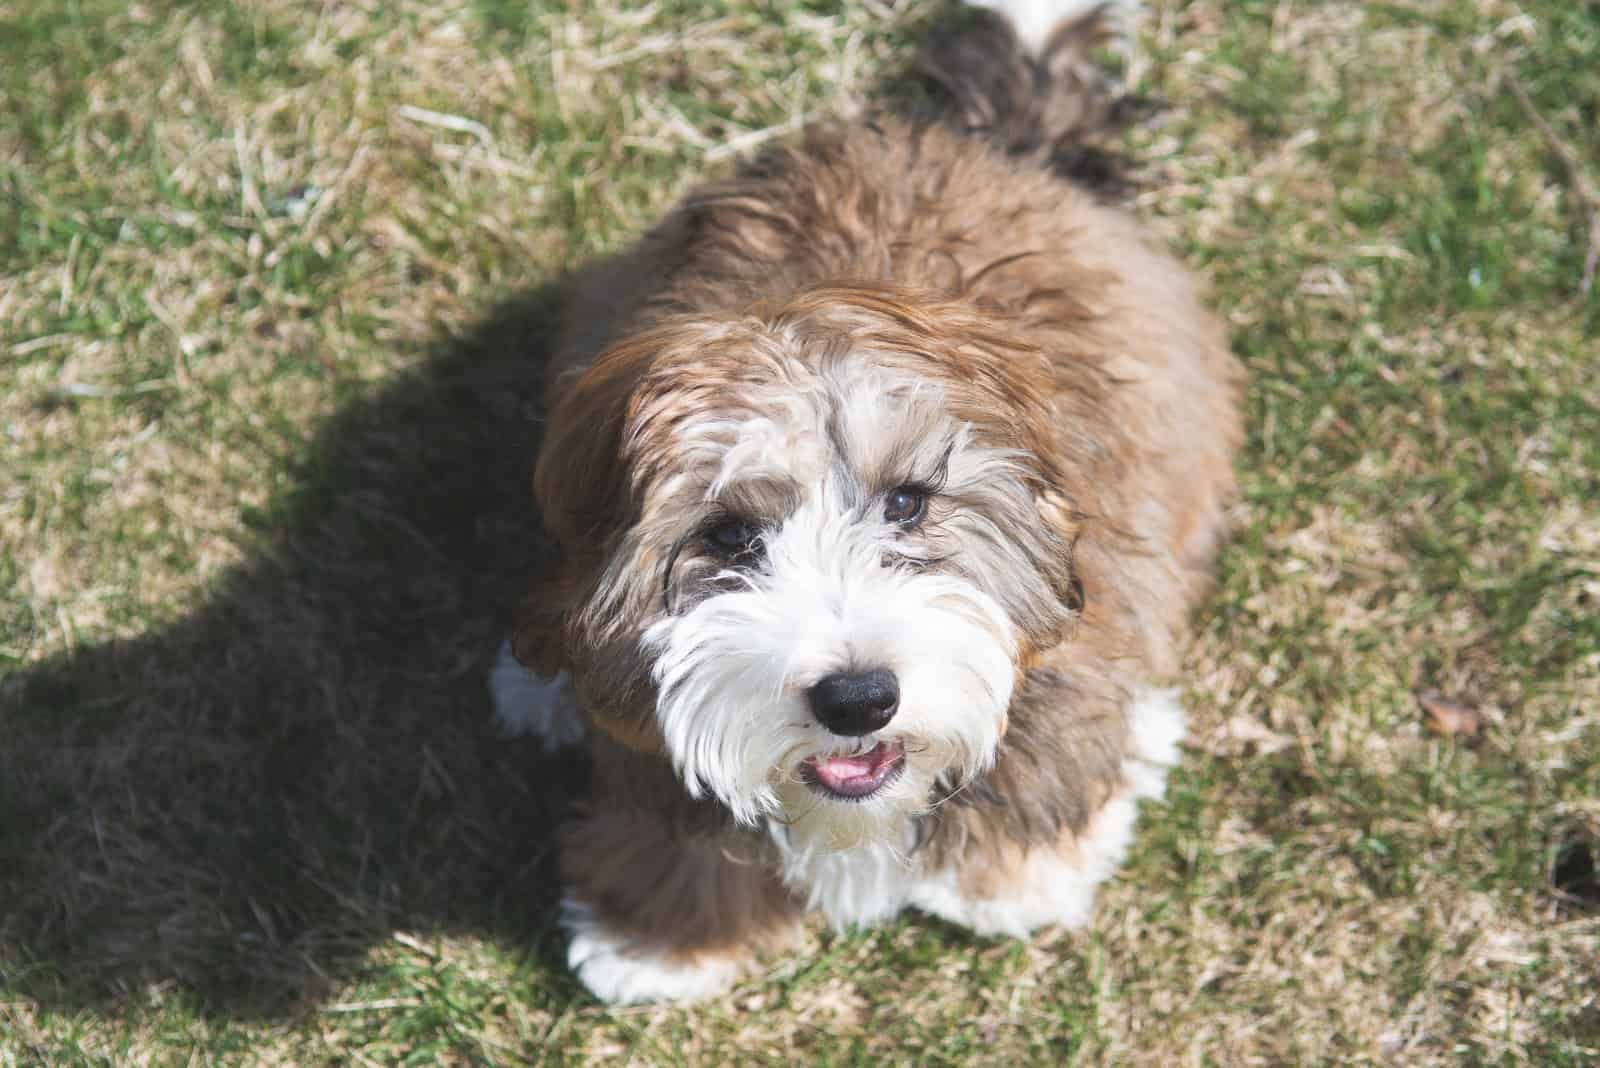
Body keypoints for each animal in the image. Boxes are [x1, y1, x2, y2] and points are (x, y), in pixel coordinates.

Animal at [492, 0, 1241, 1004]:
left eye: (910, 504)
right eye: (729, 535)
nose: (856, 699)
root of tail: (988, 142)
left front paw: (1015, 873)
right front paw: (657, 932)